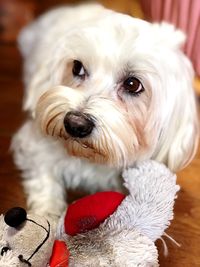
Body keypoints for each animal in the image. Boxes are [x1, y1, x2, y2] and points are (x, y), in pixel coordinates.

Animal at [12, 3, 198, 218]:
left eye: (133, 84)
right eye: (77, 67)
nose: (75, 124)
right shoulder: (34, 144)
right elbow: (44, 179)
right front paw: (47, 213)